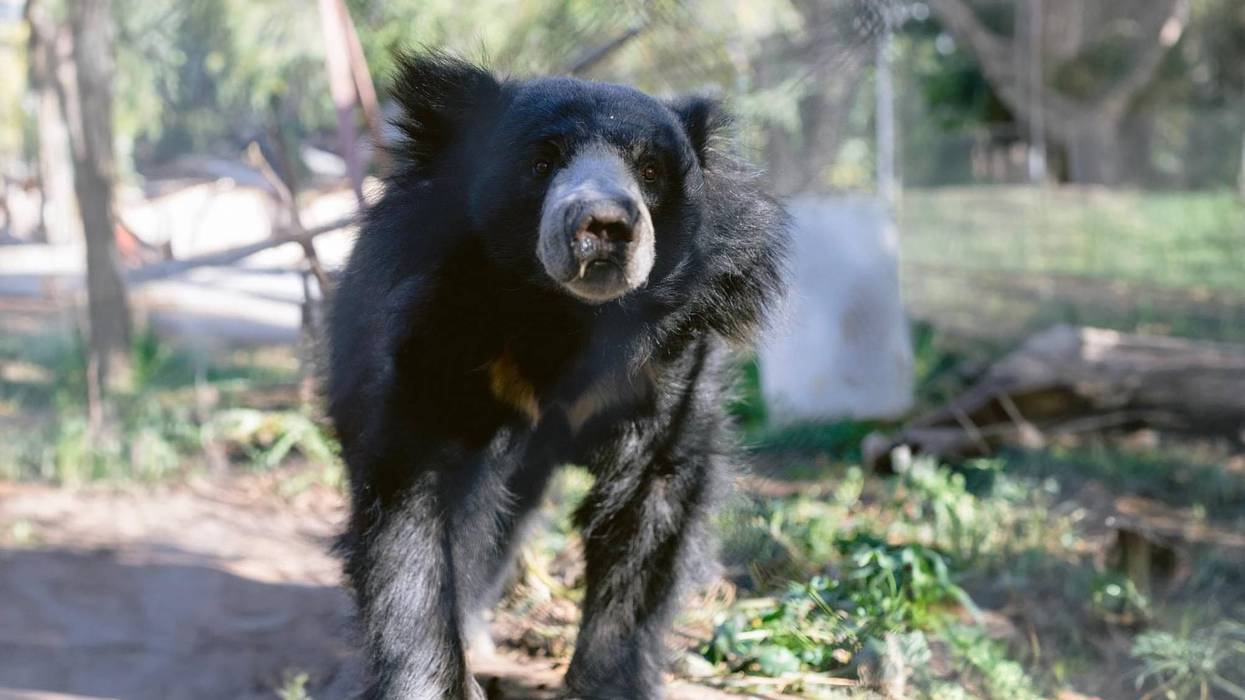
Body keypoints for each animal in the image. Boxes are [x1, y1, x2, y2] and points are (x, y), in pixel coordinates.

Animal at [327, 52, 789, 700]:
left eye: (651, 170)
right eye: (541, 162)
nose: (605, 227)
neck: (563, 317)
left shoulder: (670, 364)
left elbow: (649, 509)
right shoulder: (437, 333)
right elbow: (412, 513)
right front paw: (431, 681)